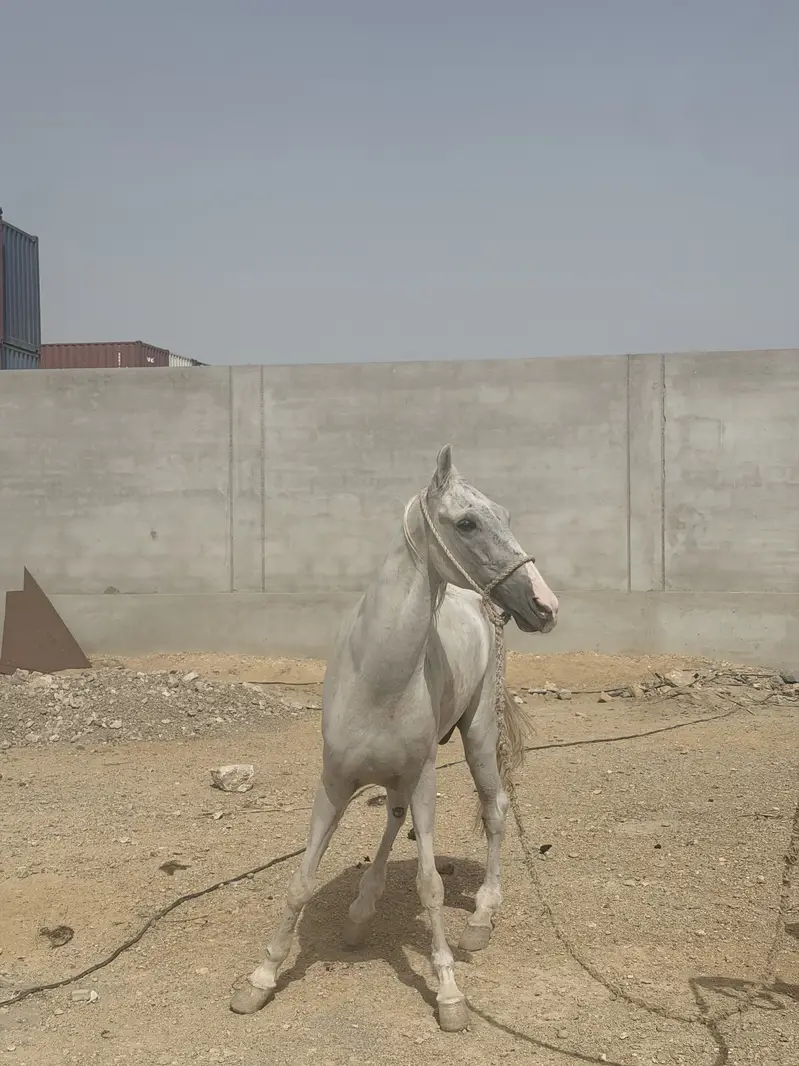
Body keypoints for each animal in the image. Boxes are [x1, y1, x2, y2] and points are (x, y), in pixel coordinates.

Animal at [230, 444, 559, 1031]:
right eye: (468, 522)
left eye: (506, 516)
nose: (545, 605)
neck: (377, 675)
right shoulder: (334, 783)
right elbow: (300, 881)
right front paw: (260, 979)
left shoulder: (425, 777)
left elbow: (430, 886)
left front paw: (449, 993)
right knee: (394, 815)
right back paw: (362, 911)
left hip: (477, 735)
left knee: (495, 808)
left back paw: (480, 917)